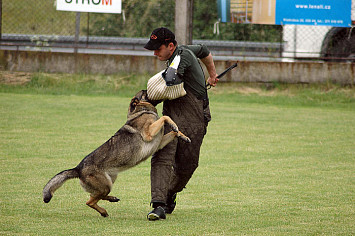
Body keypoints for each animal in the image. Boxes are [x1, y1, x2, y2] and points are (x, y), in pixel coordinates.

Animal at [43, 90, 191, 218]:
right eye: (145, 91)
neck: (141, 111)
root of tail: (78, 168)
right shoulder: (149, 134)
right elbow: (166, 117)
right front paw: (174, 126)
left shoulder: (159, 143)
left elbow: (173, 132)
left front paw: (182, 135)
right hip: (106, 185)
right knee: (90, 201)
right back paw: (104, 210)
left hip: (110, 181)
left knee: (93, 198)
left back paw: (111, 200)